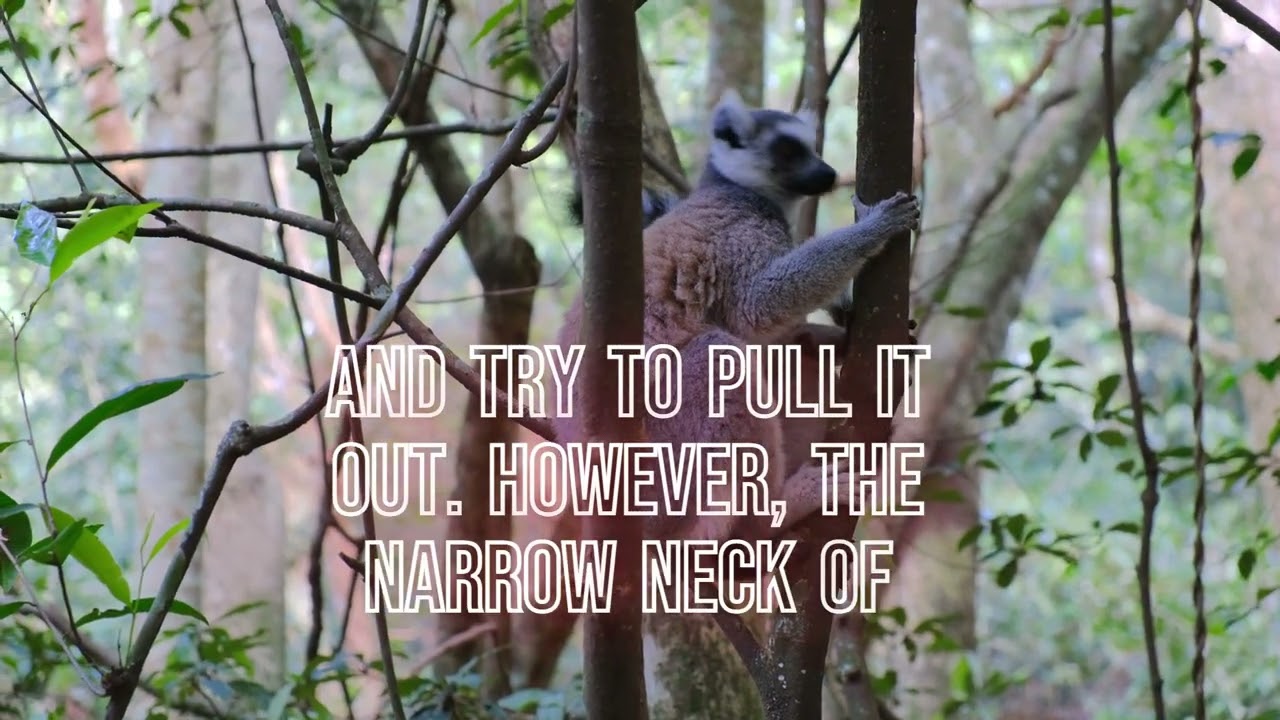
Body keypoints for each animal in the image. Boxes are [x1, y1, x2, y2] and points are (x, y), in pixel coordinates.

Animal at [551, 89, 920, 543]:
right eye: (788, 150)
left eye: (812, 147)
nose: (829, 173)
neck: (737, 189)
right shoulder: (737, 233)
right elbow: (756, 307)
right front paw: (875, 226)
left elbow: (779, 334)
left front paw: (846, 328)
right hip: (656, 465)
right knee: (717, 358)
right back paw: (777, 509)